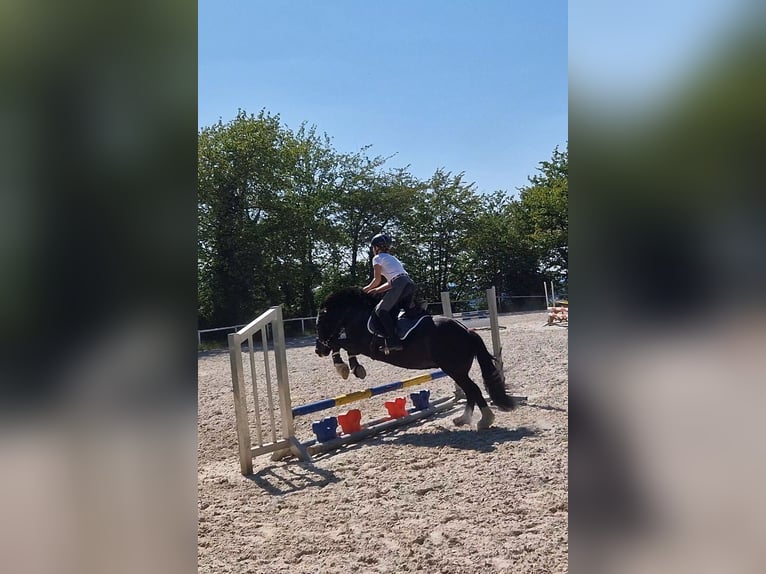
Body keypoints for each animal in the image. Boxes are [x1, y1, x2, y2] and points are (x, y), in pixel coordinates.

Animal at [316, 288, 520, 432]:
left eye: (321, 323)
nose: (319, 350)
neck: (356, 315)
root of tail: (467, 331)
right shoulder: (356, 344)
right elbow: (342, 346)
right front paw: (355, 368)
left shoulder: (361, 344)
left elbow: (337, 343)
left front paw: (343, 367)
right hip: (456, 371)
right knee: (470, 391)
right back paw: (462, 419)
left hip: (454, 369)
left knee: (474, 390)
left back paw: (485, 420)